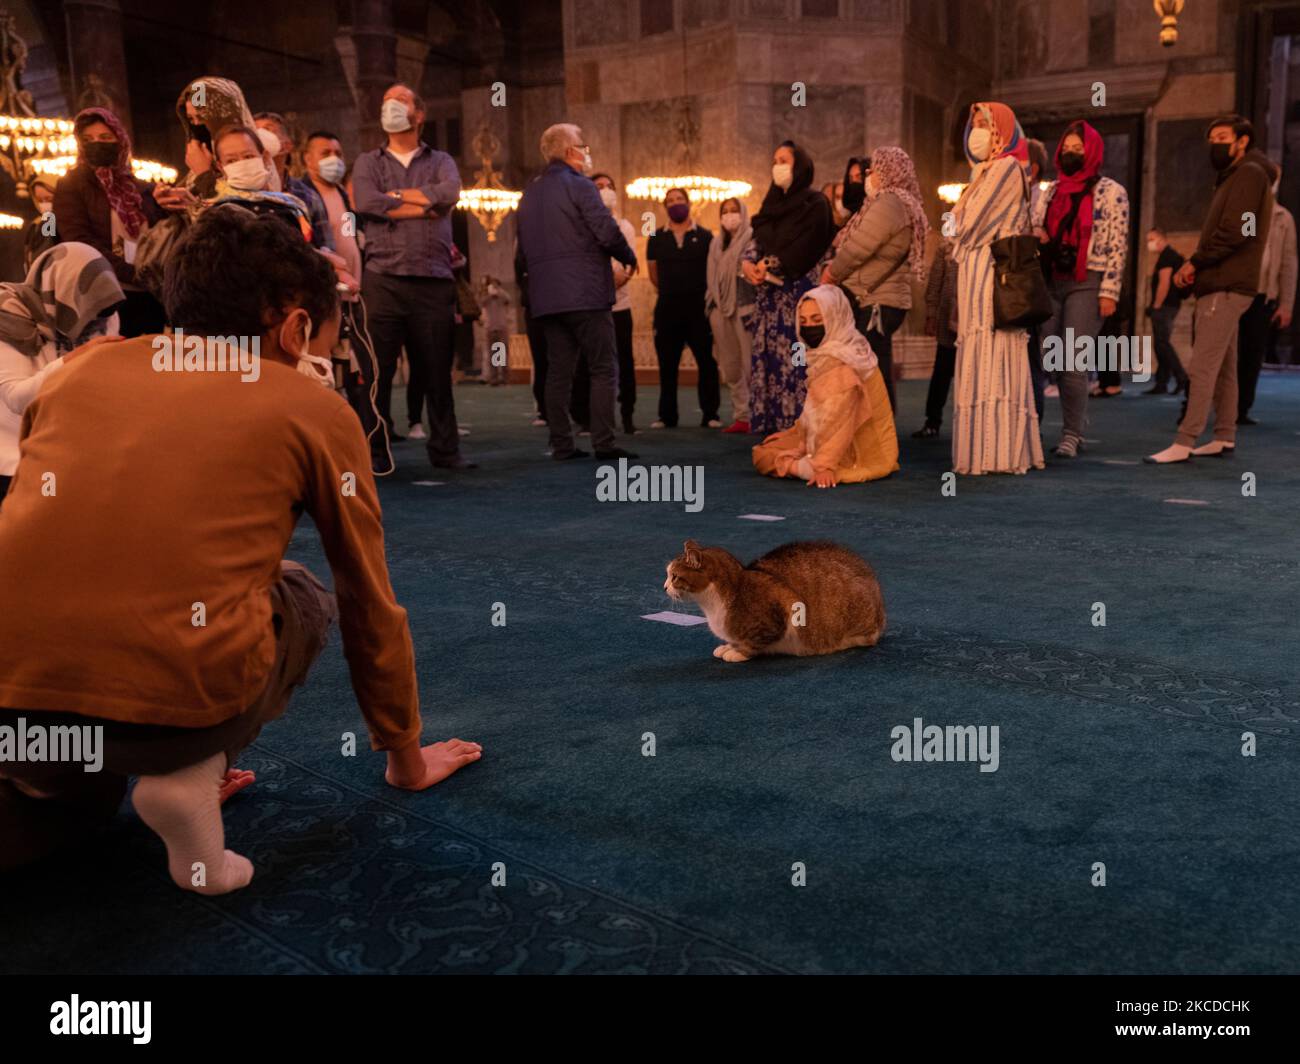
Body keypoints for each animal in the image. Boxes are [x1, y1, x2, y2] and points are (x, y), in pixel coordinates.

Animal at [660, 538, 883, 663]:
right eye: (669, 575)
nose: (664, 587)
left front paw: (737, 652)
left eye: (674, 577)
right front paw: (729, 646)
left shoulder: (784, 611)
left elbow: (753, 643)